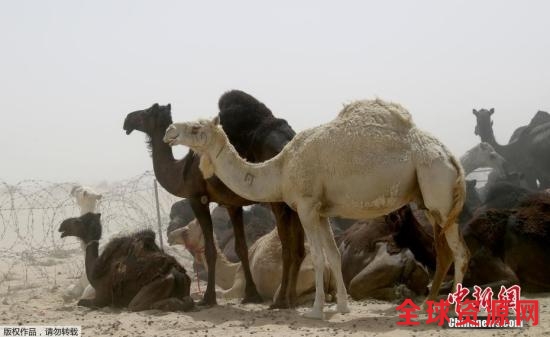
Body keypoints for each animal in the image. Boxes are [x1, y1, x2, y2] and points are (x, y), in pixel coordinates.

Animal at [58, 211, 194, 312]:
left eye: (77, 221)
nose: (62, 225)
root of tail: (178, 274)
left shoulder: (101, 298)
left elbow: (80, 302)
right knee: (188, 301)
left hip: (155, 287)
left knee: (136, 306)